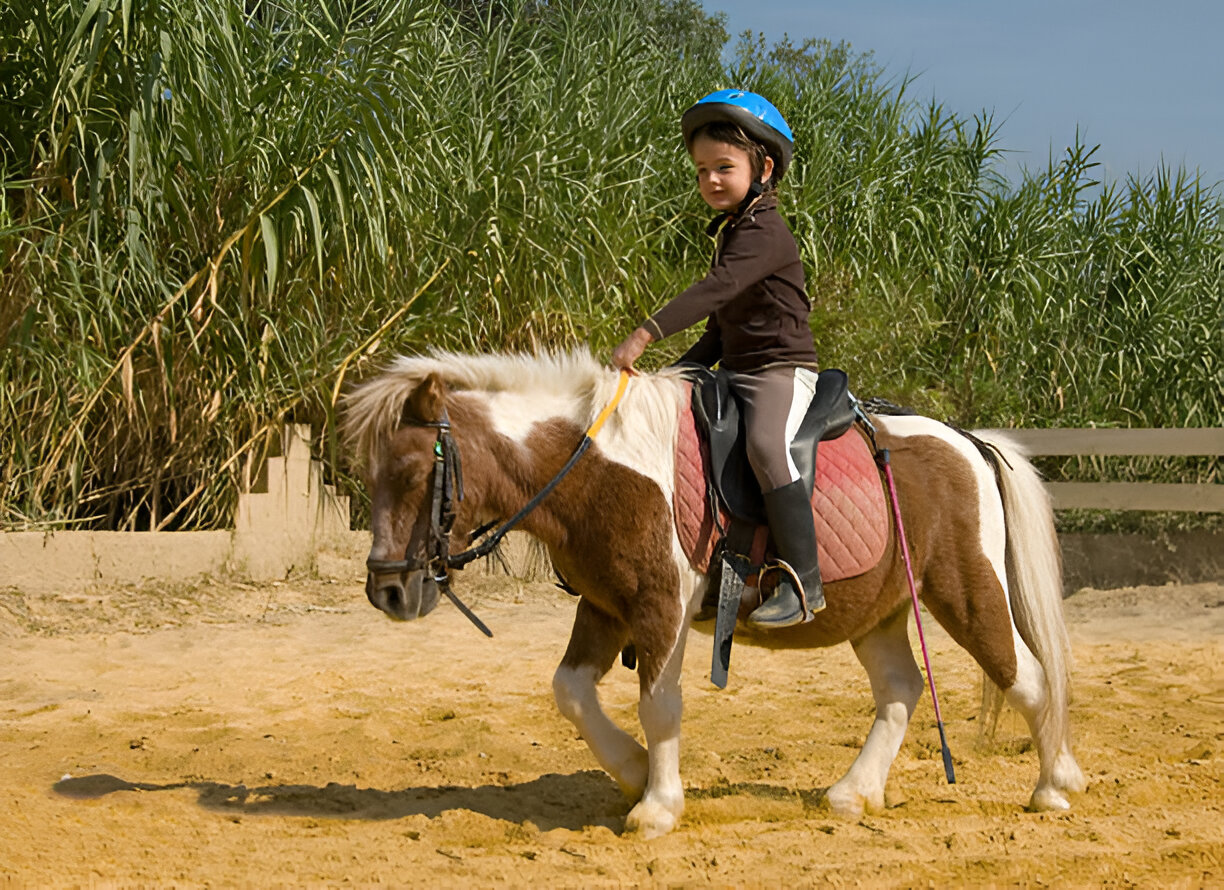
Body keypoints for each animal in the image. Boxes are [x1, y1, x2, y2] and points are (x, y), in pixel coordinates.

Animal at [340, 352, 1086, 837]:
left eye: (413, 472)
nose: (389, 591)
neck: (598, 467)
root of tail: (967, 441)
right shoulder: (605, 606)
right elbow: (571, 691)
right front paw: (633, 771)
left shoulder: (658, 606)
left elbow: (659, 704)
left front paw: (657, 805)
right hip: (876, 610)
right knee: (902, 689)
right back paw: (853, 794)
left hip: (968, 589)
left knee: (1027, 677)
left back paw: (1053, 786)